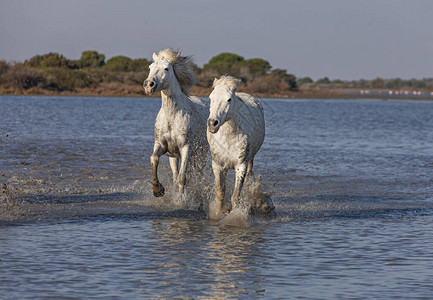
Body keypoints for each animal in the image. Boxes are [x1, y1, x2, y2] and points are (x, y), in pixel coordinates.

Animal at [143, 48, 208, 198]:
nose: (149, 85)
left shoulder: (186, 148)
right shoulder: (161, 145)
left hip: (201, 153)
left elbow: (182, 177)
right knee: (176, 174)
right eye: (150, 67)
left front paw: (181, 199)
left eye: (166, 68)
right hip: (174, 157)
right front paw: (158, 190)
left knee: (197, 173)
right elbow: (154, 159)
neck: (171, 117)